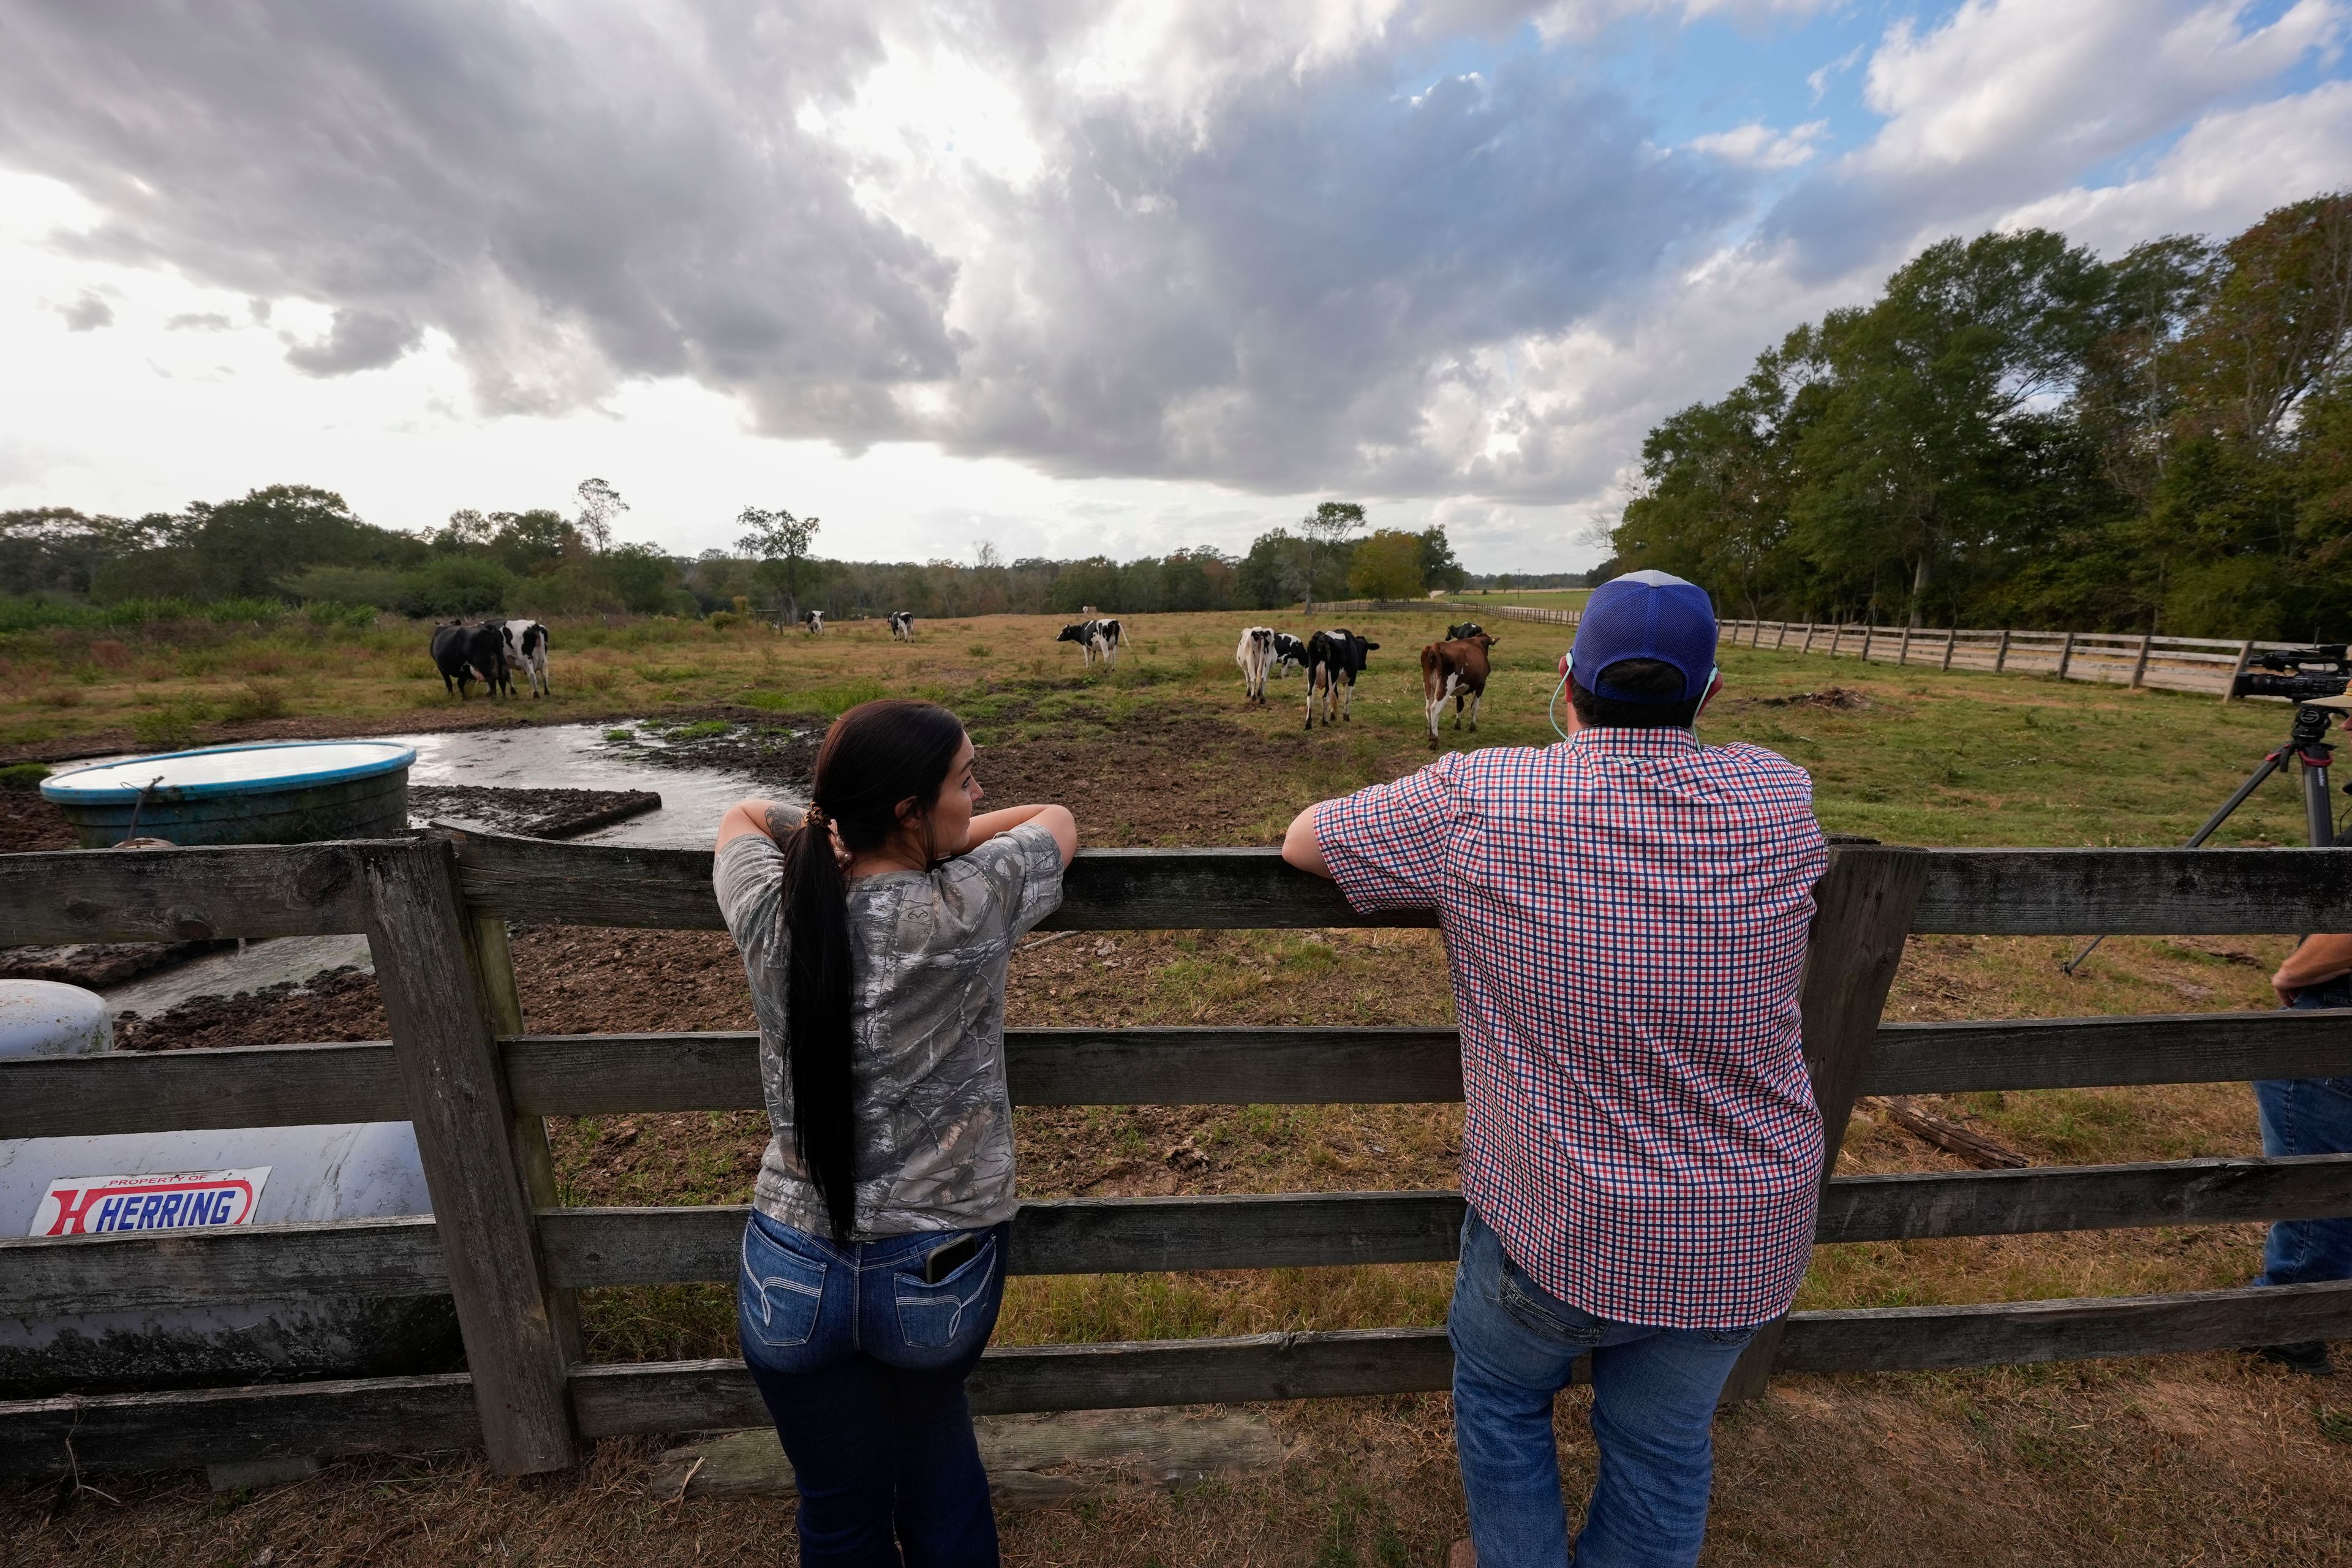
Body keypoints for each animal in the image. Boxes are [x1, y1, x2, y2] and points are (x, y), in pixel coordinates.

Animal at [430, 620, 508, 700]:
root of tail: (486, 629)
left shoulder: (441, 667)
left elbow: (449, 683)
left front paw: (451, 697)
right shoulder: (464, 670)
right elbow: (460, 683)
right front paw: (463, 698)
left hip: (482, 662)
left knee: (491, 679)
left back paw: (494, 698)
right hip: (499, 657)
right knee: (501, 679)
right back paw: (503, 698)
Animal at [496, 620, 550, 700]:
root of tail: (534, 625)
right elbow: (509, 676)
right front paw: (513, 691)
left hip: (525, 659)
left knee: (532, 675)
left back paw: (536, 694)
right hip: (544, 658)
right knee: (545, 675)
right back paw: (546, 692)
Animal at [1308, 625, 1373, 728]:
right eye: (1365, 650)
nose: (1364, 666)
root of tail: (1324, 638)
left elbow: (1336, 696)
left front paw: (1333, 715)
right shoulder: (1352, 678)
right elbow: (1347, 697)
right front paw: (1346, 717)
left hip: (1312, 675)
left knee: (1310, 698)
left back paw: (1308, 724)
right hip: (1332, 676)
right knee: (1325, 698)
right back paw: (1325, 721)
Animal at [1420, 630, 1496, 747]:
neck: (1478, 643)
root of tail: (1435, 647)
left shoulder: (1460, 689)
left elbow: (1460, 706)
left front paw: (1457, 725)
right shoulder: (1481, 685)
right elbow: (1474, 707)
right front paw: (1473, 727)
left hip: (1428, 685)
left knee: (1428, 708)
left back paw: (1431, 736)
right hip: (1446, 686)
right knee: (1434, 708)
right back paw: (1435, 740)